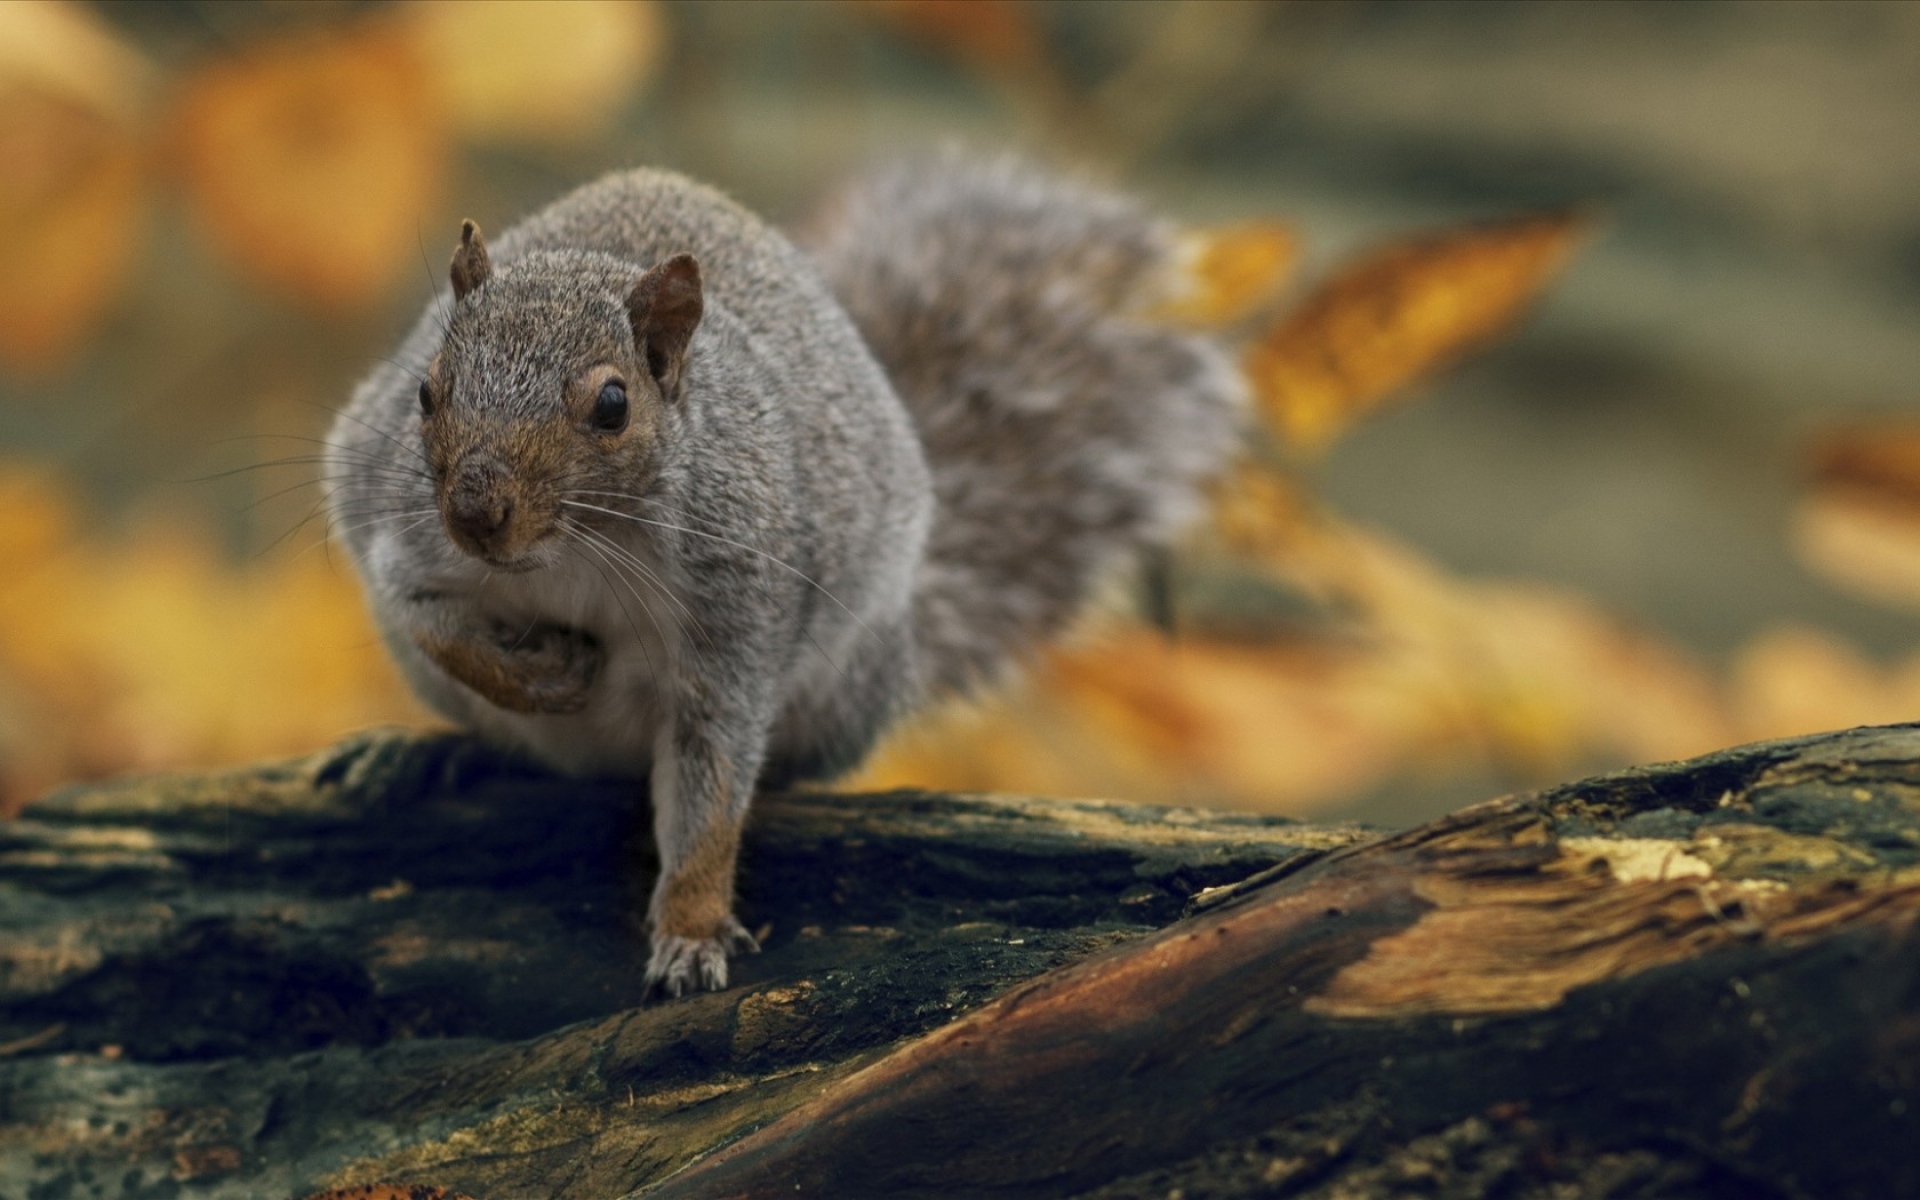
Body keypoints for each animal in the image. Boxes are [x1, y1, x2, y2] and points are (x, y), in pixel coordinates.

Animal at [327, 155, 1243, 996]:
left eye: (613, 405)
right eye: (425, 391)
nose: (476, 512)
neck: (574, 552)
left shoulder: (735, 606)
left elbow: (713, 786)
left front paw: (692, 930)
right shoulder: (407, 539)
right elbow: (431, 623)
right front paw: (543, 672)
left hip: (844, 686)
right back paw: (415, 754)